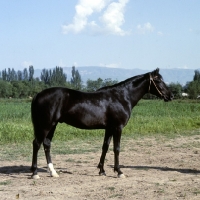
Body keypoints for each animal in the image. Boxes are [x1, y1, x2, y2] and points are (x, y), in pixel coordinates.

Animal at [30, 68, 173, 179]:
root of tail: (38, 94)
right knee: (37, 144)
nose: (170, 96)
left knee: (47, 144)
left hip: (52, 125)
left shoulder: (109, 128)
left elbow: (105, 147)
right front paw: (119, 172)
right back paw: (35, 173)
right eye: (158, 80)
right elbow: (116, 149)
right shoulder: (118, 127)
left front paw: (102, 171)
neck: (121, 96)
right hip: (46, 125)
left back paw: (53, 172)